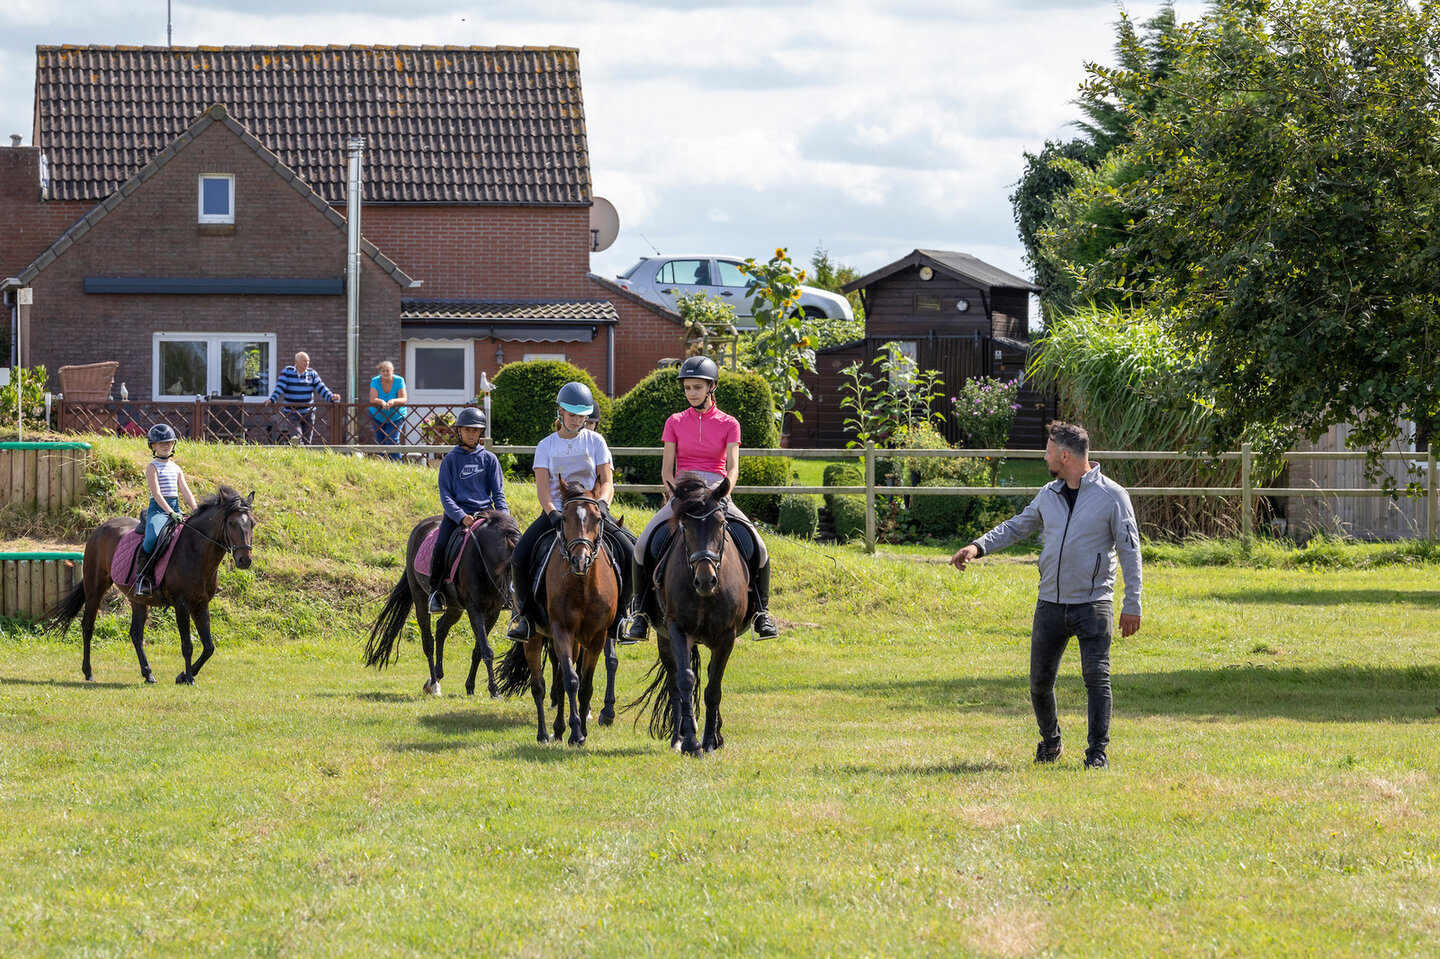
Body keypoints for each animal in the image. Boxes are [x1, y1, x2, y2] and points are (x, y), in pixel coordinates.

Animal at [41, 489, 256, 682]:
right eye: (231, 523)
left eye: (252, 524)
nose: (244, 560)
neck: (195, 550)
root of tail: (101, 528)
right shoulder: (182, 604)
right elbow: (187, 645)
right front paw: (188, 678)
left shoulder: (201, 604)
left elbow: (209, 647)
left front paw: (183, 675)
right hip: (95, 587)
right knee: (88, 625)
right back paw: (88, 672)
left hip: (137, 599)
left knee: (136, 634)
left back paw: (148, 674)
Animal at [362, 506, 521, 694]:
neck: (484, 558)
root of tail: (420, 527)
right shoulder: (474, 608)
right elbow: (486, 650)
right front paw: (494, 690)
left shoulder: (493, 611)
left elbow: (479, 649)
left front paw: (471, 687)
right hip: (421, 600)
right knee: (428, 641)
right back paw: (434, 685)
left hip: (455, 607)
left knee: (440, 628)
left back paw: (437, 675)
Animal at [498, 480, 622, 743]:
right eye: (563, 518)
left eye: (598, 518)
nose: (580, 561)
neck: (583, 584)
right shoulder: (562, 630)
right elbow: (571, 680)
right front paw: (575, 733)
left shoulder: (597, 637)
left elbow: (585, 685)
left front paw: (582, 729)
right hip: (535, 636)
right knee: (539, 685)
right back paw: (544, 733)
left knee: (559, 676)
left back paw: (558, 727)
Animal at [636, 469, 760, 754]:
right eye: (685, 526)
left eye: (721, 523)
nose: (706, 581)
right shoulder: (678, 629)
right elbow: (685, 680)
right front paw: (692, 743)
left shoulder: (726, 636)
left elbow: (714, 687)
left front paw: (711, 741)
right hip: (664, 638)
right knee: (674, 682)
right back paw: (679, 738)